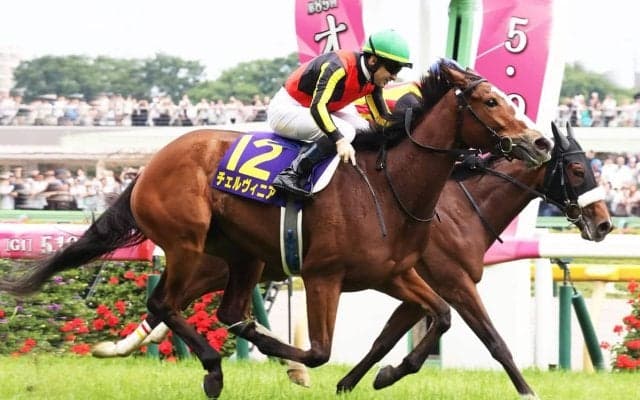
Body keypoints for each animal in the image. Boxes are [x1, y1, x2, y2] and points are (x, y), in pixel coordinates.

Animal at [0, 58, 552, 399]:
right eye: (490, 102)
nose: (541, 143)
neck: (389, 186)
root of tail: (152, 163)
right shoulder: (325, 276)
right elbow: (321, 350)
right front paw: (295, 361)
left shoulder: (395, 273)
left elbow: (438, 317)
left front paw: (386, 374)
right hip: (186, 244)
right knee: (164, 303)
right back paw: (215, 369)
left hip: (241, 255)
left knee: (220, 310)